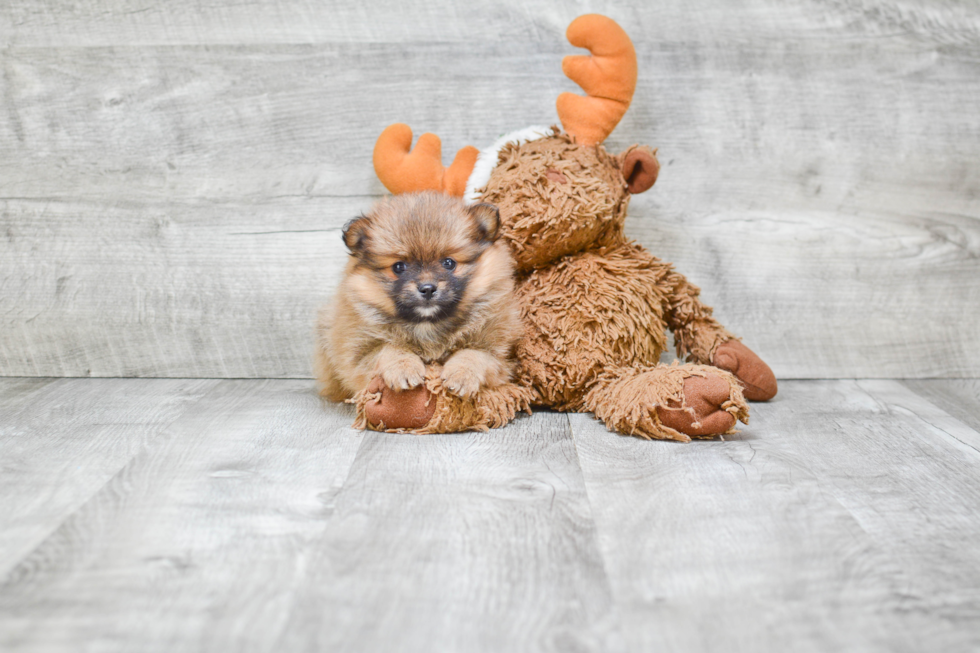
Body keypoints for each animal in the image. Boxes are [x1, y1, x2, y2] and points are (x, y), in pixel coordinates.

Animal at [318, 190, 524, 402]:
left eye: (449, 263)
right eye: (398, 267)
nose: (427, 288)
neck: (427, 325)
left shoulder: (501, 353)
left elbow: (474, 353)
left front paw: (461, 376)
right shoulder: (358, 353)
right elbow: (389, 348)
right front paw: (404, 369)